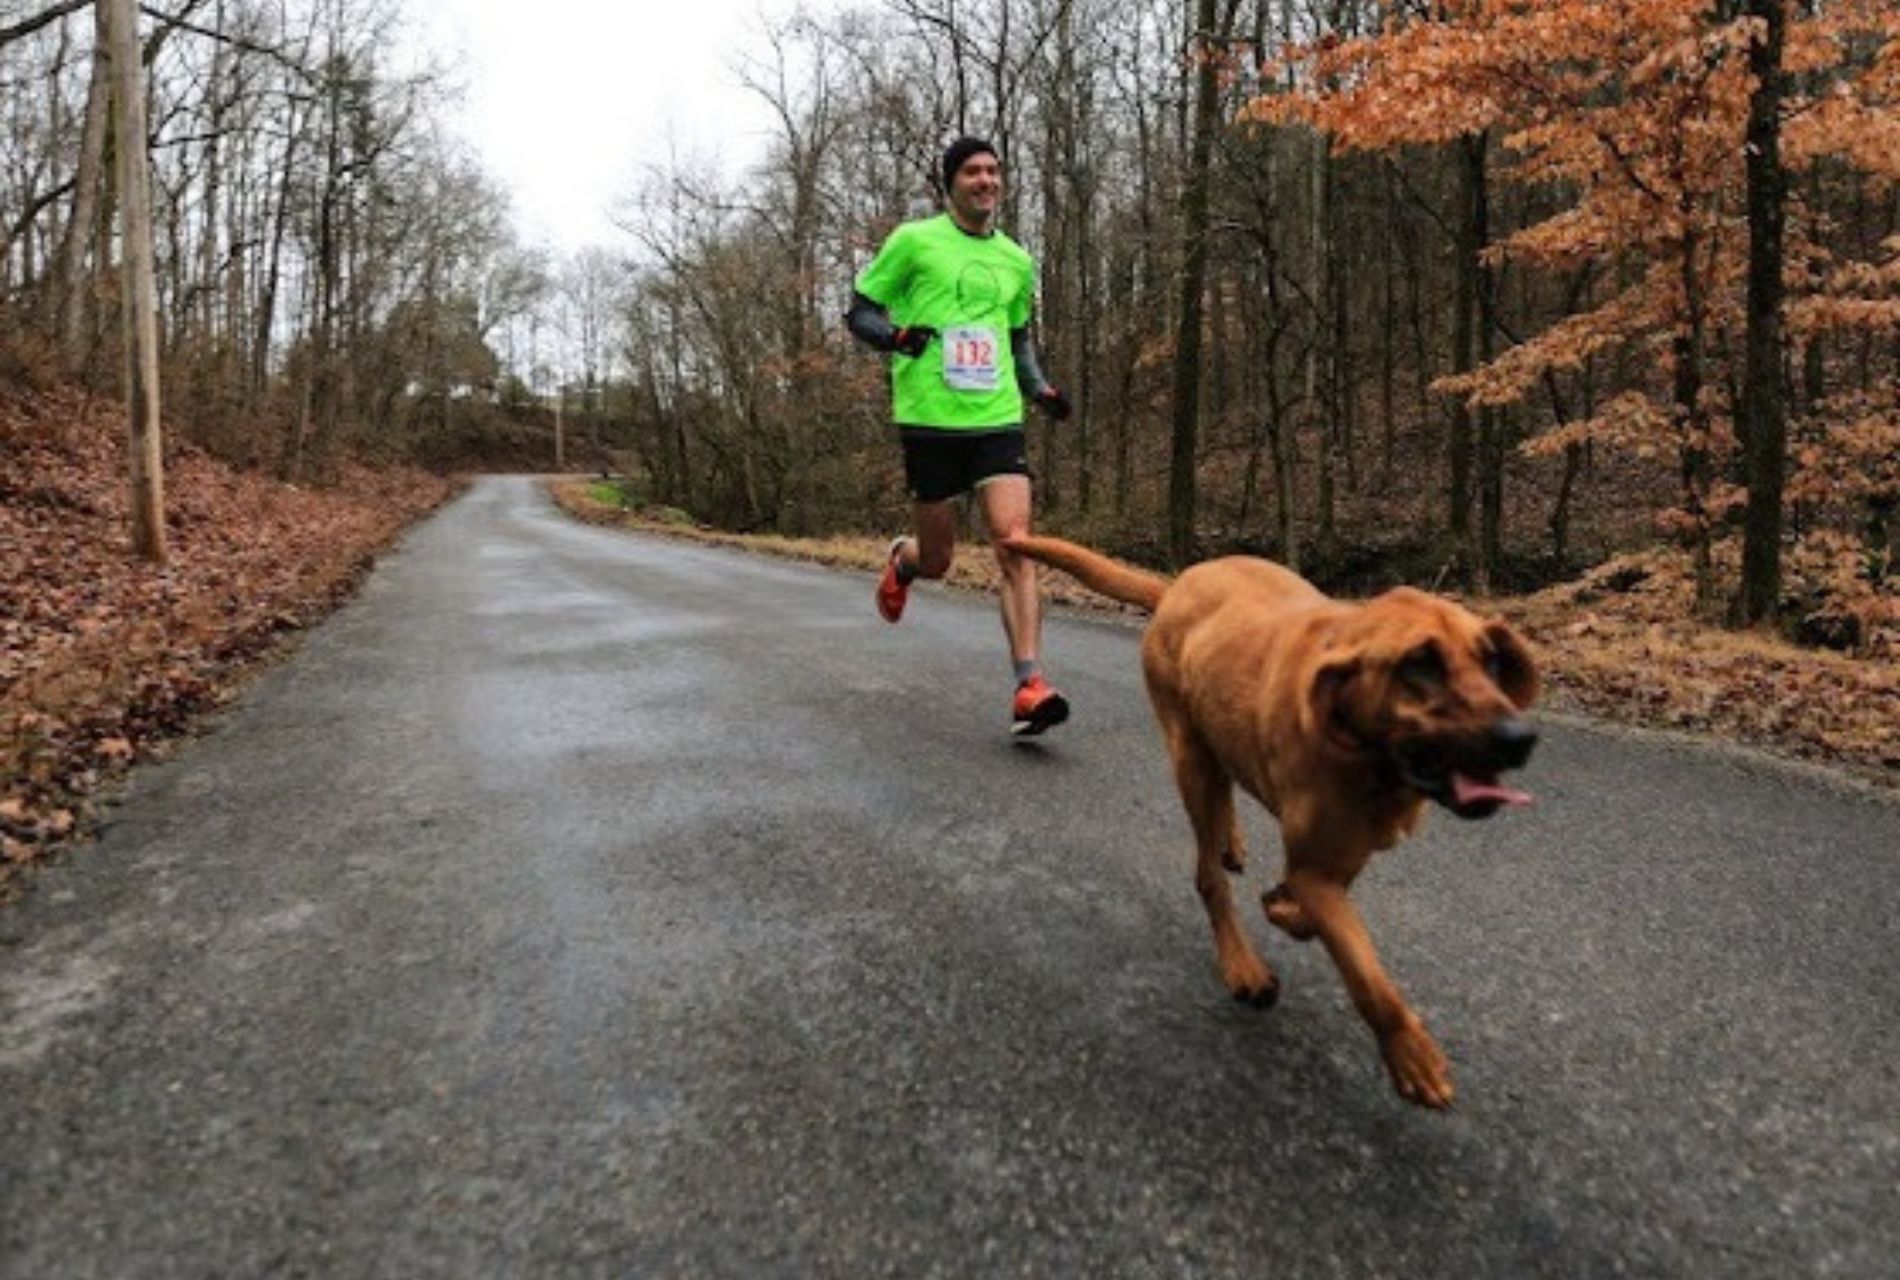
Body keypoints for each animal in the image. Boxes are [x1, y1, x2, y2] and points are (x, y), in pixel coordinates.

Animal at [1003, 531, 1535, 1101]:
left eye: (1492, 662)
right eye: (1419, 664)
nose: (1520, 738)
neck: (1370, 757)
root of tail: (1178, 586)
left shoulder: (1345, 852)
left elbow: (1316, 916)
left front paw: (1282, 904)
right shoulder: (1316, 867)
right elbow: (1365, 973)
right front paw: (1411, 1054)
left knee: (1225, 797)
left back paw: (1231, 842)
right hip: (1189, 757)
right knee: (1208, 875)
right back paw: (1241, 963)